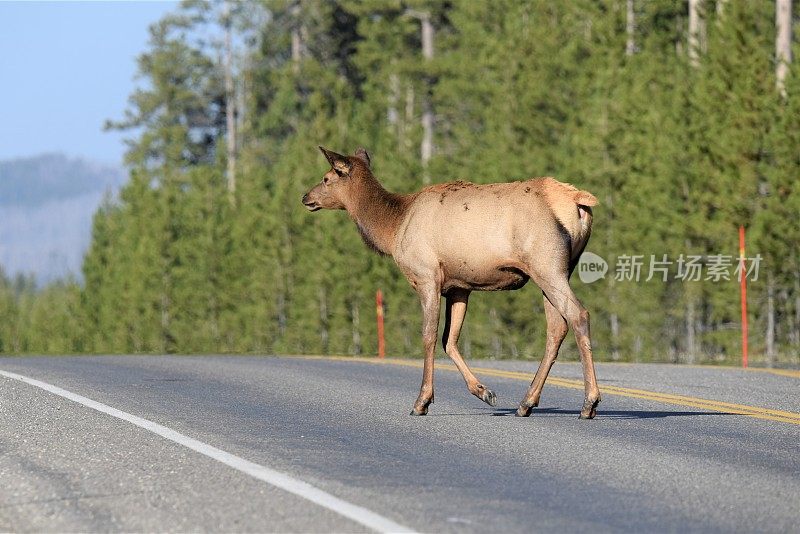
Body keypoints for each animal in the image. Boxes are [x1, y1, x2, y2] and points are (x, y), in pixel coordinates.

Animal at [304, 149, 600, 420]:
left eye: (327, 177)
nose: (305, 196)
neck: (393, 227)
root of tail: (579, 201)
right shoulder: (460, 286)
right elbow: (450, 339)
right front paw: (484, 391)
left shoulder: (427, 276)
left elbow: (429, 336)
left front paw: (422, 401)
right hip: (560, 269)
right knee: (556, 327)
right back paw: (526, 403)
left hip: (547, 264)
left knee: (579, 315)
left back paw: (589, 403)